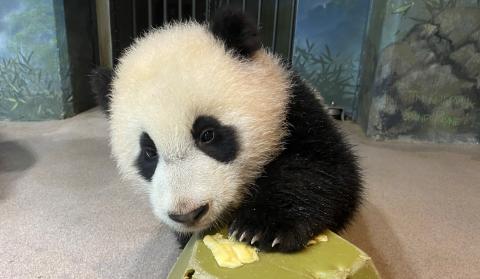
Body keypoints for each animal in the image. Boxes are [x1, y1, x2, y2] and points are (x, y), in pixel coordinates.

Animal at [90, 9, 362, 254]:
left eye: (207, 134)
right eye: (149, 153)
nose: (188, 213)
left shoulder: (295, 108)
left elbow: (324, 168)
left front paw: (263, 227)